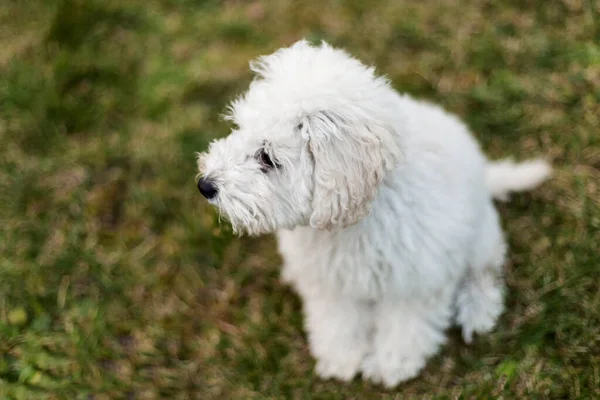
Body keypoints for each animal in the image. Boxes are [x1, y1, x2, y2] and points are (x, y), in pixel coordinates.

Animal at [195, 39, 552, 388]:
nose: (205, 185)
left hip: (480, 238)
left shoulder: (415, 278)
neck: (357, 217)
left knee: (483, 273)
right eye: (239, 128)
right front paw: (341, 357)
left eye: (267, 157)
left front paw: (390, 364)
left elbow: (406, 325)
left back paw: (478, 311)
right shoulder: (331, 279)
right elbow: (338, 320)